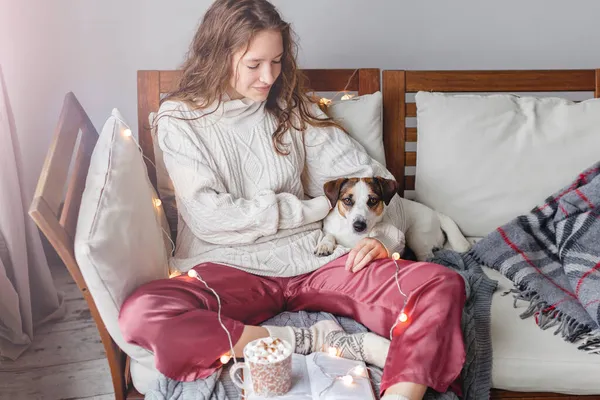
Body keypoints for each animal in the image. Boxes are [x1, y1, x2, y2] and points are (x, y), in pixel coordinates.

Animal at [316, 177, 472, 260]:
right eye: (347, 200)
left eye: (373, 200)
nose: (359, 225)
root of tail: (436, 214)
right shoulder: (330, 229)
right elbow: (329, 235)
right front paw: (324, 245)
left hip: (416, 237)